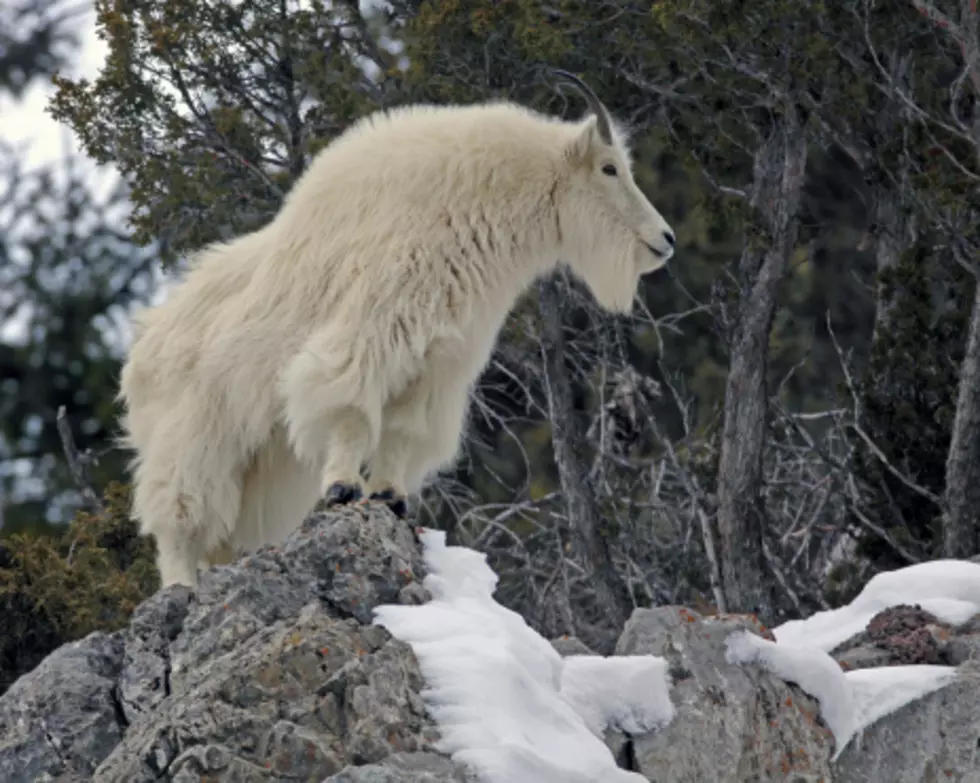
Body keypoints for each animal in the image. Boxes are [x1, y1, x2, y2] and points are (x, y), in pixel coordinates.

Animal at [118, 72, 676, 588]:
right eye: (609, 168)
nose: (665, 239)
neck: (468, 209)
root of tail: (141, 347)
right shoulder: (370, 334)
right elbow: (351, 411)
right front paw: (343, 487)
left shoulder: (439, 364)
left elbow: (405, 431)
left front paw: (389, 496)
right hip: (195, 435)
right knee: (179, 517)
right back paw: (180, 587)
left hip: (264, 464)